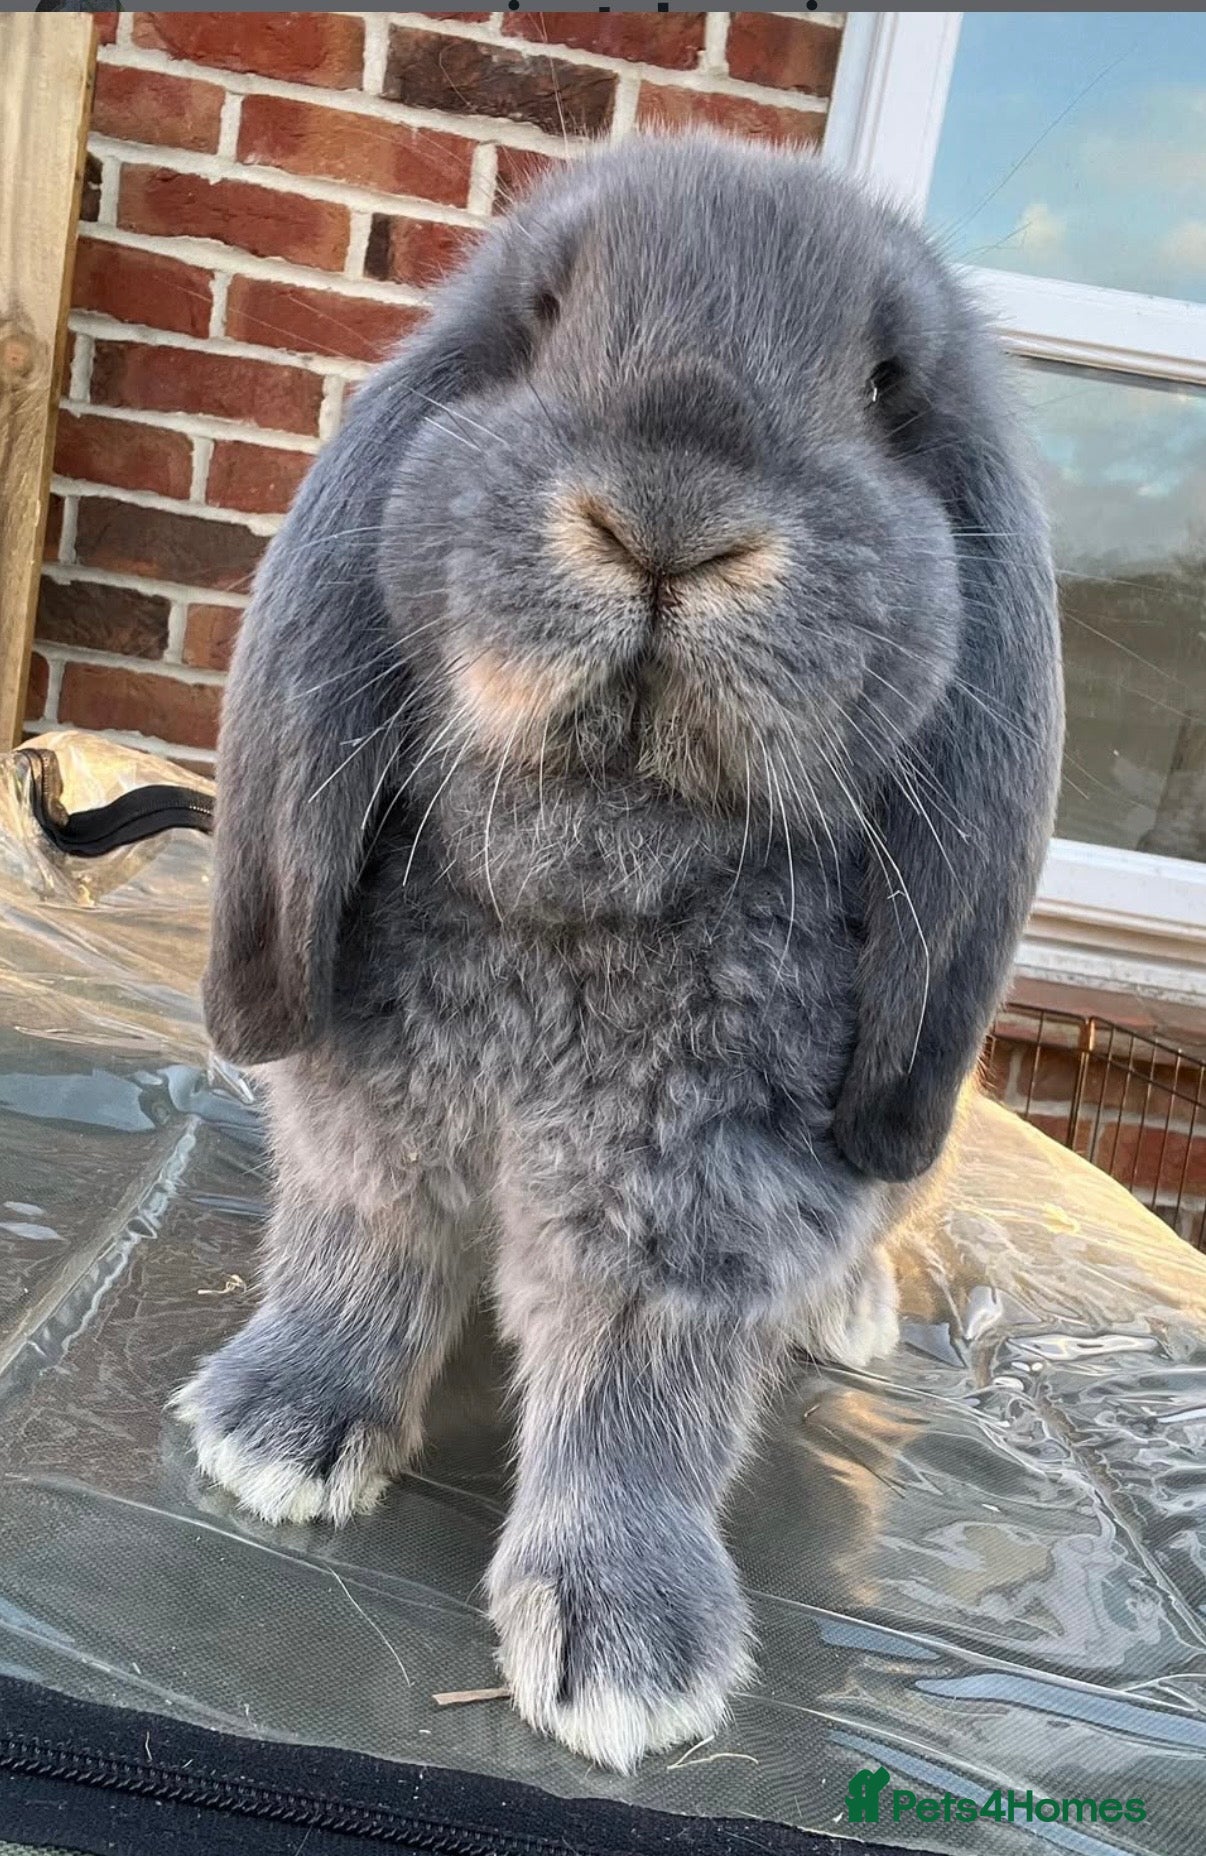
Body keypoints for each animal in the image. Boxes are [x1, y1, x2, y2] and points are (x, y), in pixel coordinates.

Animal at [172, 130, 1064, 1773]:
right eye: (538, 321)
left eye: (885, 387)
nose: (665, 519)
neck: (592, 873)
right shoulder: (363, 1121)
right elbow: (355, 1257)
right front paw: (272, 1436)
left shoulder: (695, 1206)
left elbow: (636, 1402)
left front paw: (625, 1654)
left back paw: (846, 1317)